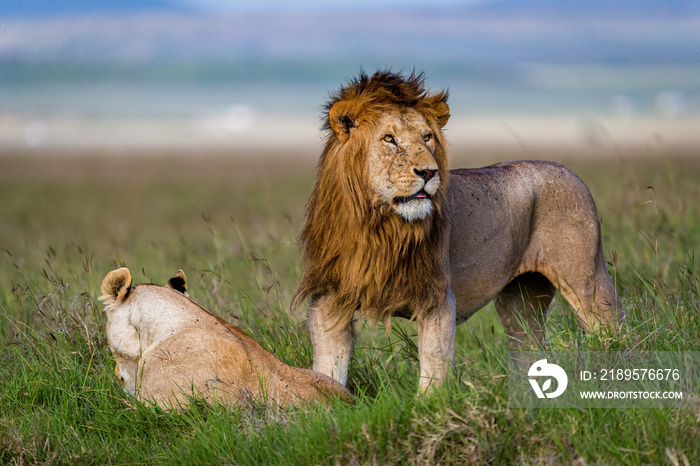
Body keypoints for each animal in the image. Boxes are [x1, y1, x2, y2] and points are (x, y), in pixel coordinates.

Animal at [292, 69, 620, 392]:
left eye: (427, 137)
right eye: (389, 139)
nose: (428, 172)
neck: (379, 227)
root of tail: (568, 170)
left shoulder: (437, 299)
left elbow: (433, 370)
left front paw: (428, 405)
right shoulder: (328, 298)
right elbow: (327, 369)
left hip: (586, 281)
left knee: (612, 330)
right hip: (520, 300)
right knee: (527, 349)